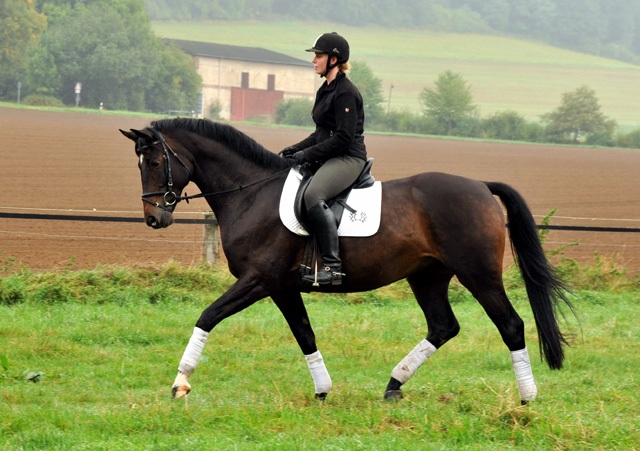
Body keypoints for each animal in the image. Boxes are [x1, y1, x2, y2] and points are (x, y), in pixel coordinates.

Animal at [121, 118, 576, 404]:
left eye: (156, 161)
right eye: (139, 163)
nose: (154, 218)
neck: (251, 192)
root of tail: (480, 186)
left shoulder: (258, 280)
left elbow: (208, 316)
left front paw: (180, 383)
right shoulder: (282, 288)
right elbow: (305, 335)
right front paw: (323, 390)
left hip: (478, 274)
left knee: (511, 325)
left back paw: (526, 397)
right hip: (427, 276)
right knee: (443, 326)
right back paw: (393, 385)